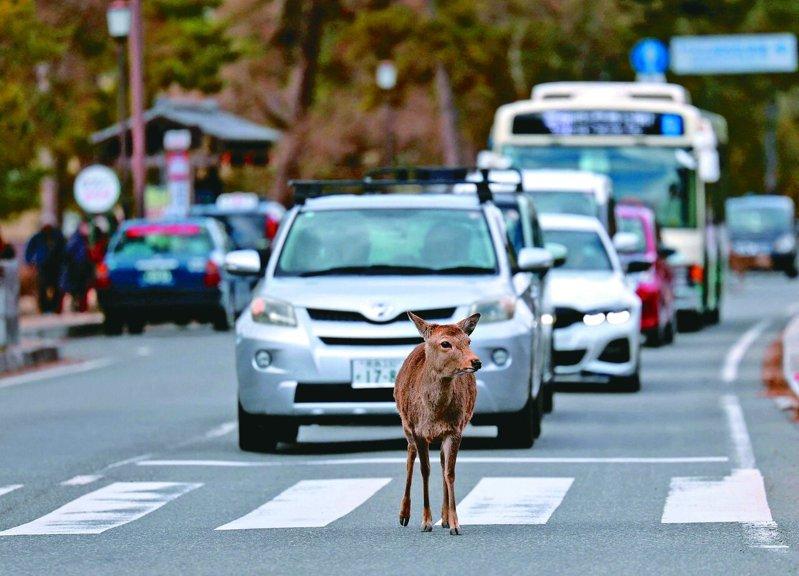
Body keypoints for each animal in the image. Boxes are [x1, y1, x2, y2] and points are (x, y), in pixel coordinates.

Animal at [393, 311, 481, 535]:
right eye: (445, 343)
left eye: (468, 341)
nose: (476, 362)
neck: (434, 413)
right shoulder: (418, 430)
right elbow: (425, 471)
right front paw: (425, 522)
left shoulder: (455, 429)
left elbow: (449, 473)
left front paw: (455, 524)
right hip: (406, 424)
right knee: (410, 455)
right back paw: (404, 515)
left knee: (442, 462)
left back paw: (445, 518)